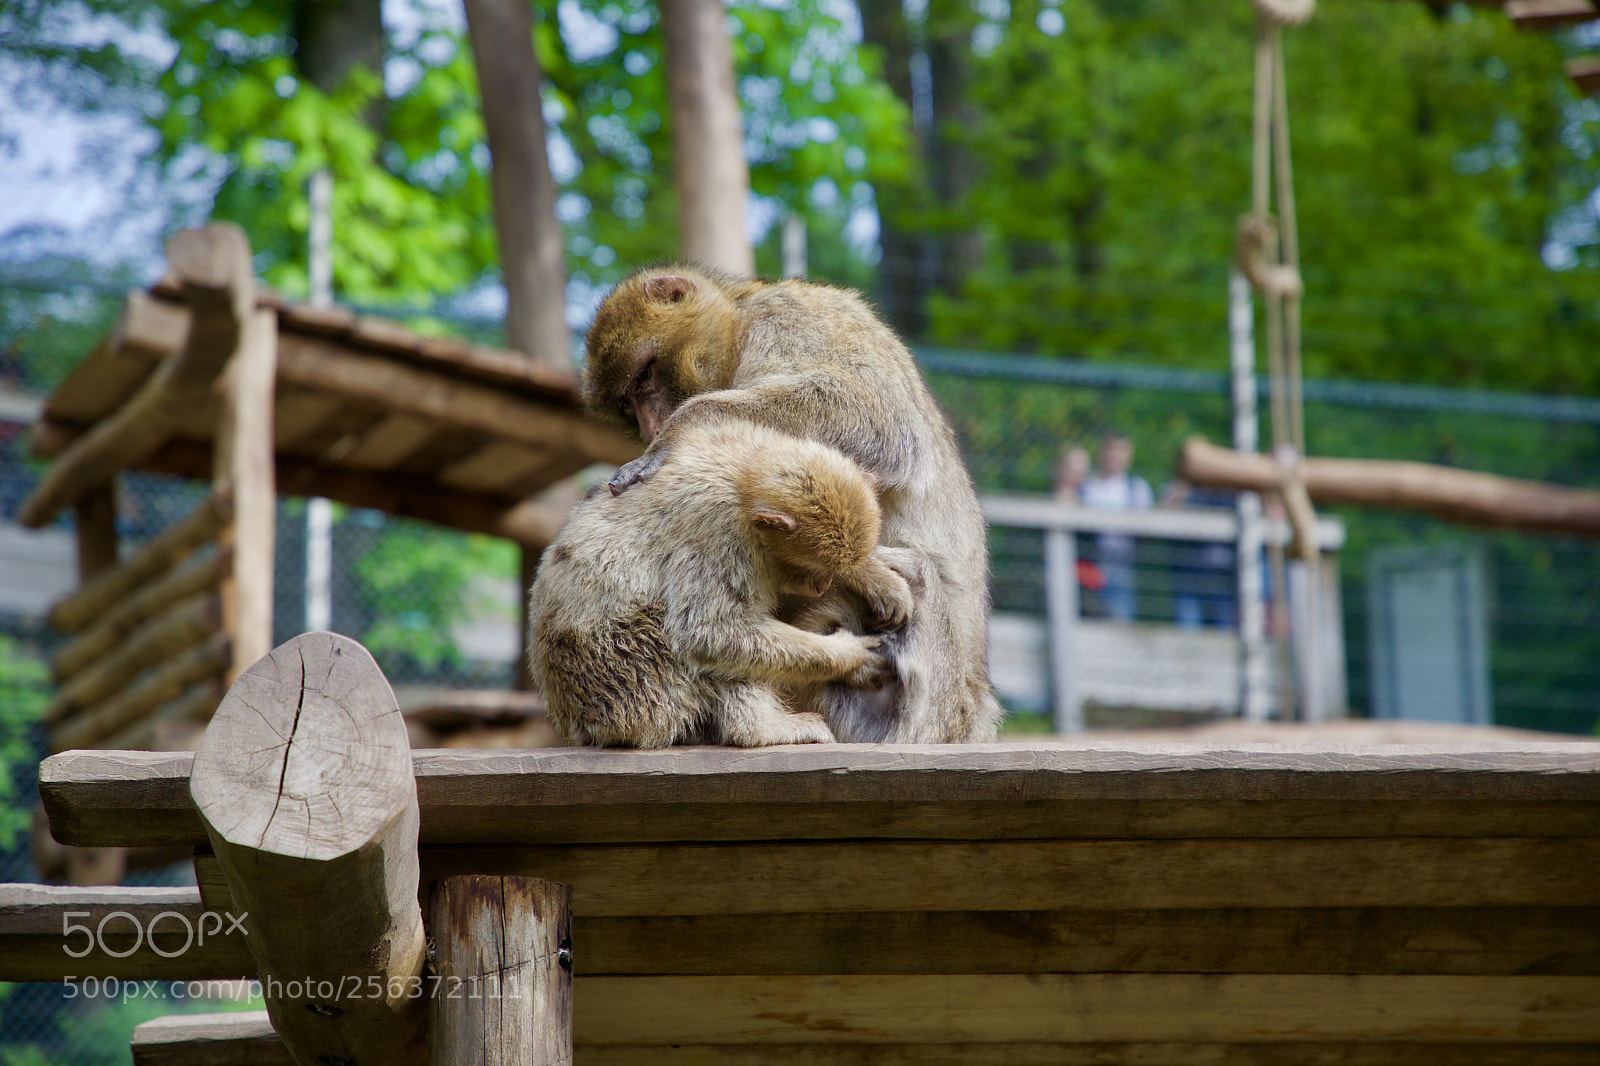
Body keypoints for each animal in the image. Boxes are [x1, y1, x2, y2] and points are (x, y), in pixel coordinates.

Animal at [527, 419, 914, 748]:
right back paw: (760, 729)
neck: (743, 475)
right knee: (690, 638)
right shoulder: (720, 533)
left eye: (830, 571)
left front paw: (873, 577)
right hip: (628, 685)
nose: (822, 586)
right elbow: (709, 633)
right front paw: (847, 655)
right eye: (812, 569)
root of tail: (578, 723)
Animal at [582, 265, 1005, 743]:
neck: (742, 319)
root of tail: (971, 713)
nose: (651, 427)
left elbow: (876, 420)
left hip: (925, 707)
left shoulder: (790, 318)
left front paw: (678, 430)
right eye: (627, 404)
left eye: (644, 376)